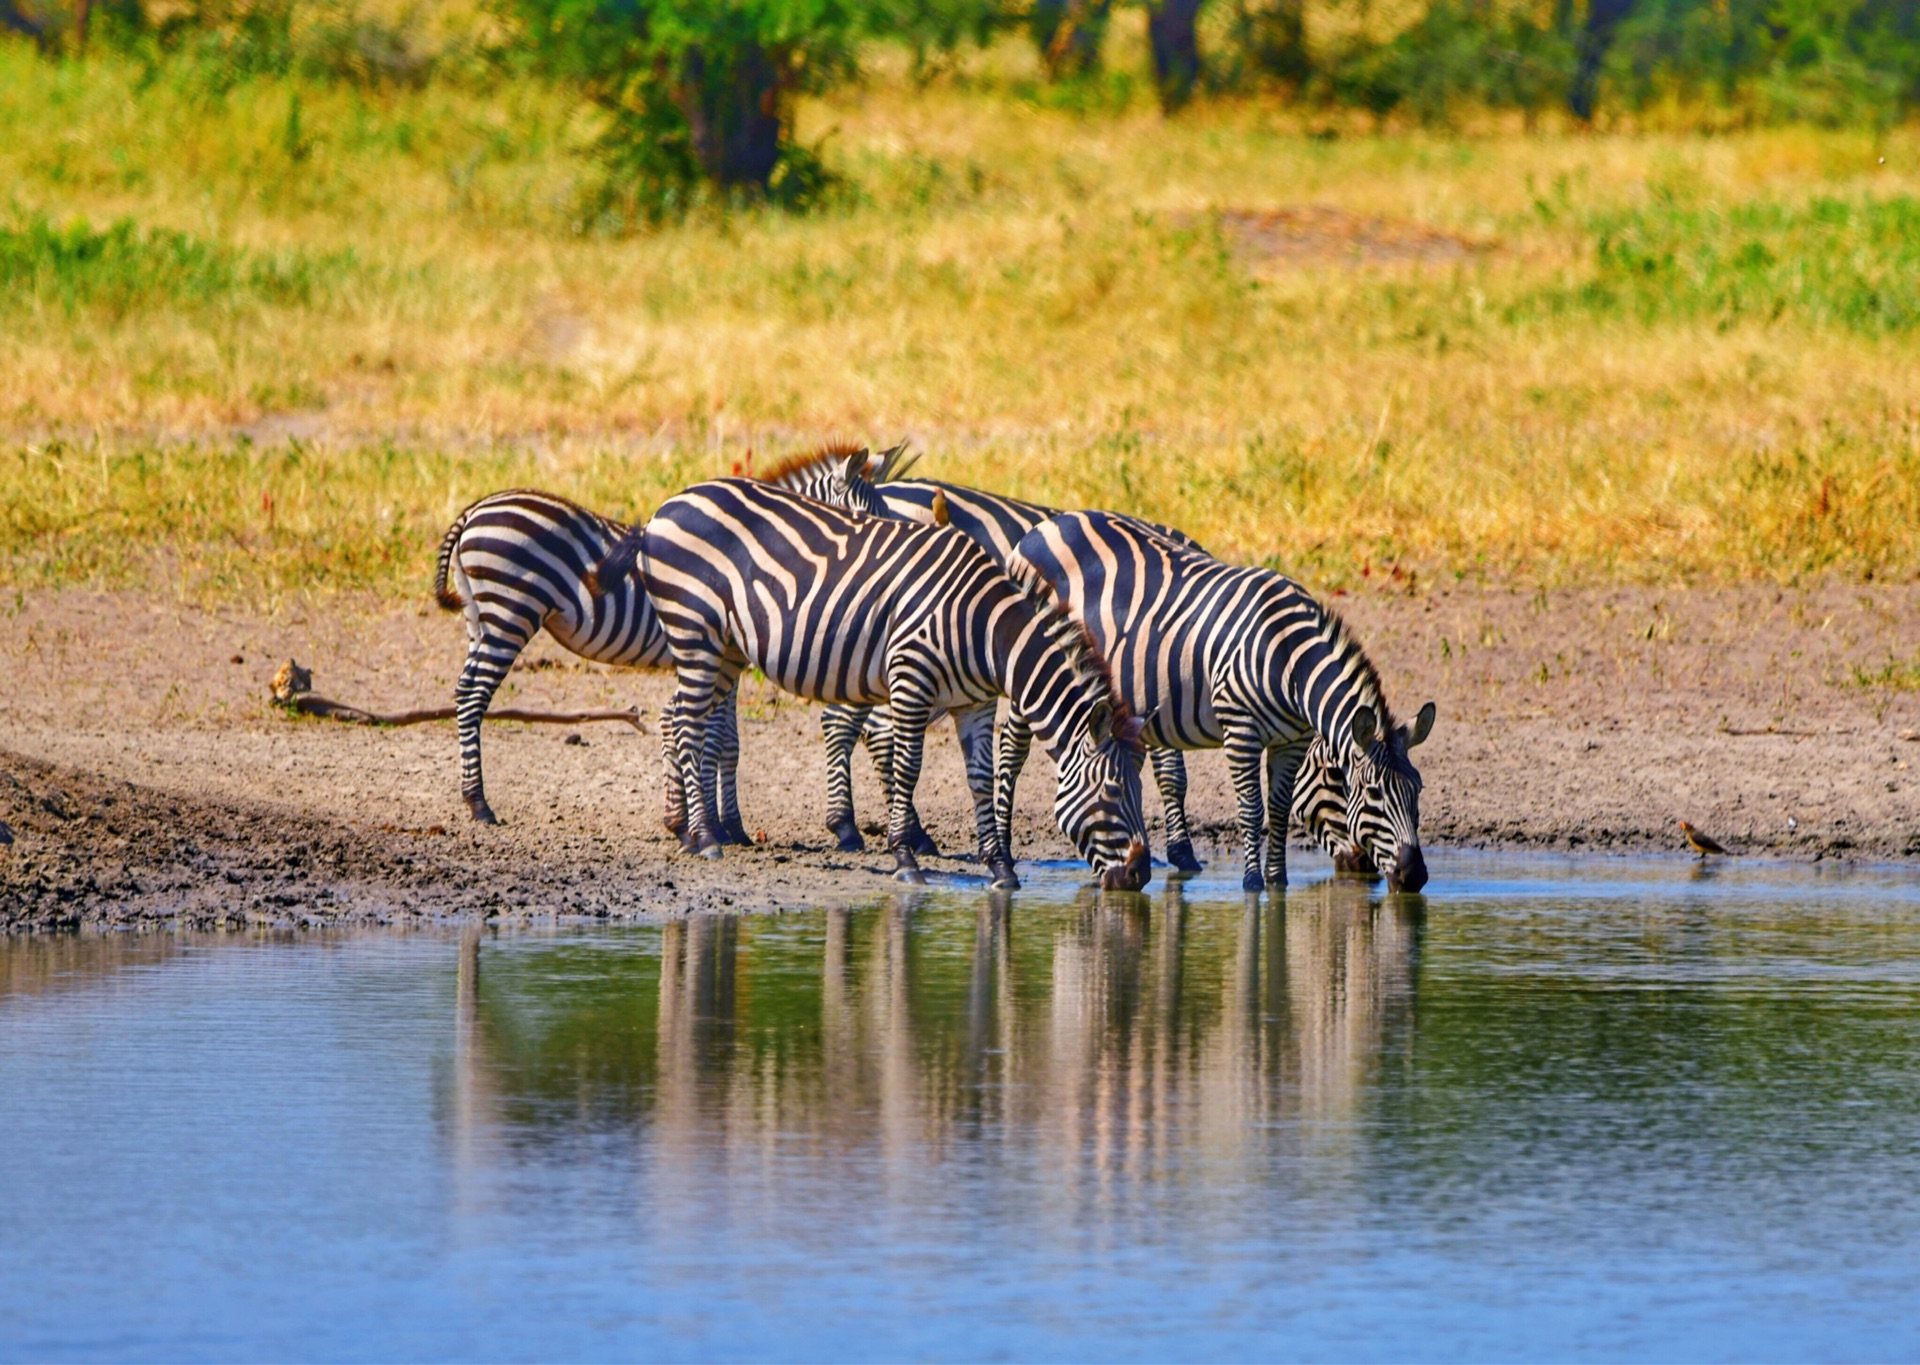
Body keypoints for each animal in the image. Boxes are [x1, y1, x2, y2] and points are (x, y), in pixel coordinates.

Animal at [437, 443, 913, 829]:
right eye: (861, 519)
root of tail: (476, 509)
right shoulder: (722, 653)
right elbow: (718, 740)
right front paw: (719, 825)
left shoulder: (726, 657)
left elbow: (720, 740)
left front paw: (700, 819)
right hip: (509, 613)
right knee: (475, 696)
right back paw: (479, 804)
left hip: (480, 619)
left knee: (462, 692)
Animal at [591, 483, 1144, 898]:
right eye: (1115, 791)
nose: (1140, 878)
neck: (986, 633)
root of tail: (666, 506)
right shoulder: (911, 677)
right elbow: (908, 766)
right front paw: (904, 857)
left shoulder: (976, 703)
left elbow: (980, 779)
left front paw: (1001, 868)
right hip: (695, 631)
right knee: (687, 725)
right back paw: (706, 837)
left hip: (723, 647)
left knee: (675, 716)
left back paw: (685, 829)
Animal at [1006, 514, 1428, 898]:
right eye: (1369, 792)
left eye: (1418, 789)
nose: (1414, 877)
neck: (1290, 659)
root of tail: (1049, 523)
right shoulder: (1240, 729)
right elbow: (1252, 808)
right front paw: (1253, 884)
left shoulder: (1290, 740)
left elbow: (1278, 808)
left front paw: (1278, 884)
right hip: (1031, 668)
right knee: (1011, 752)